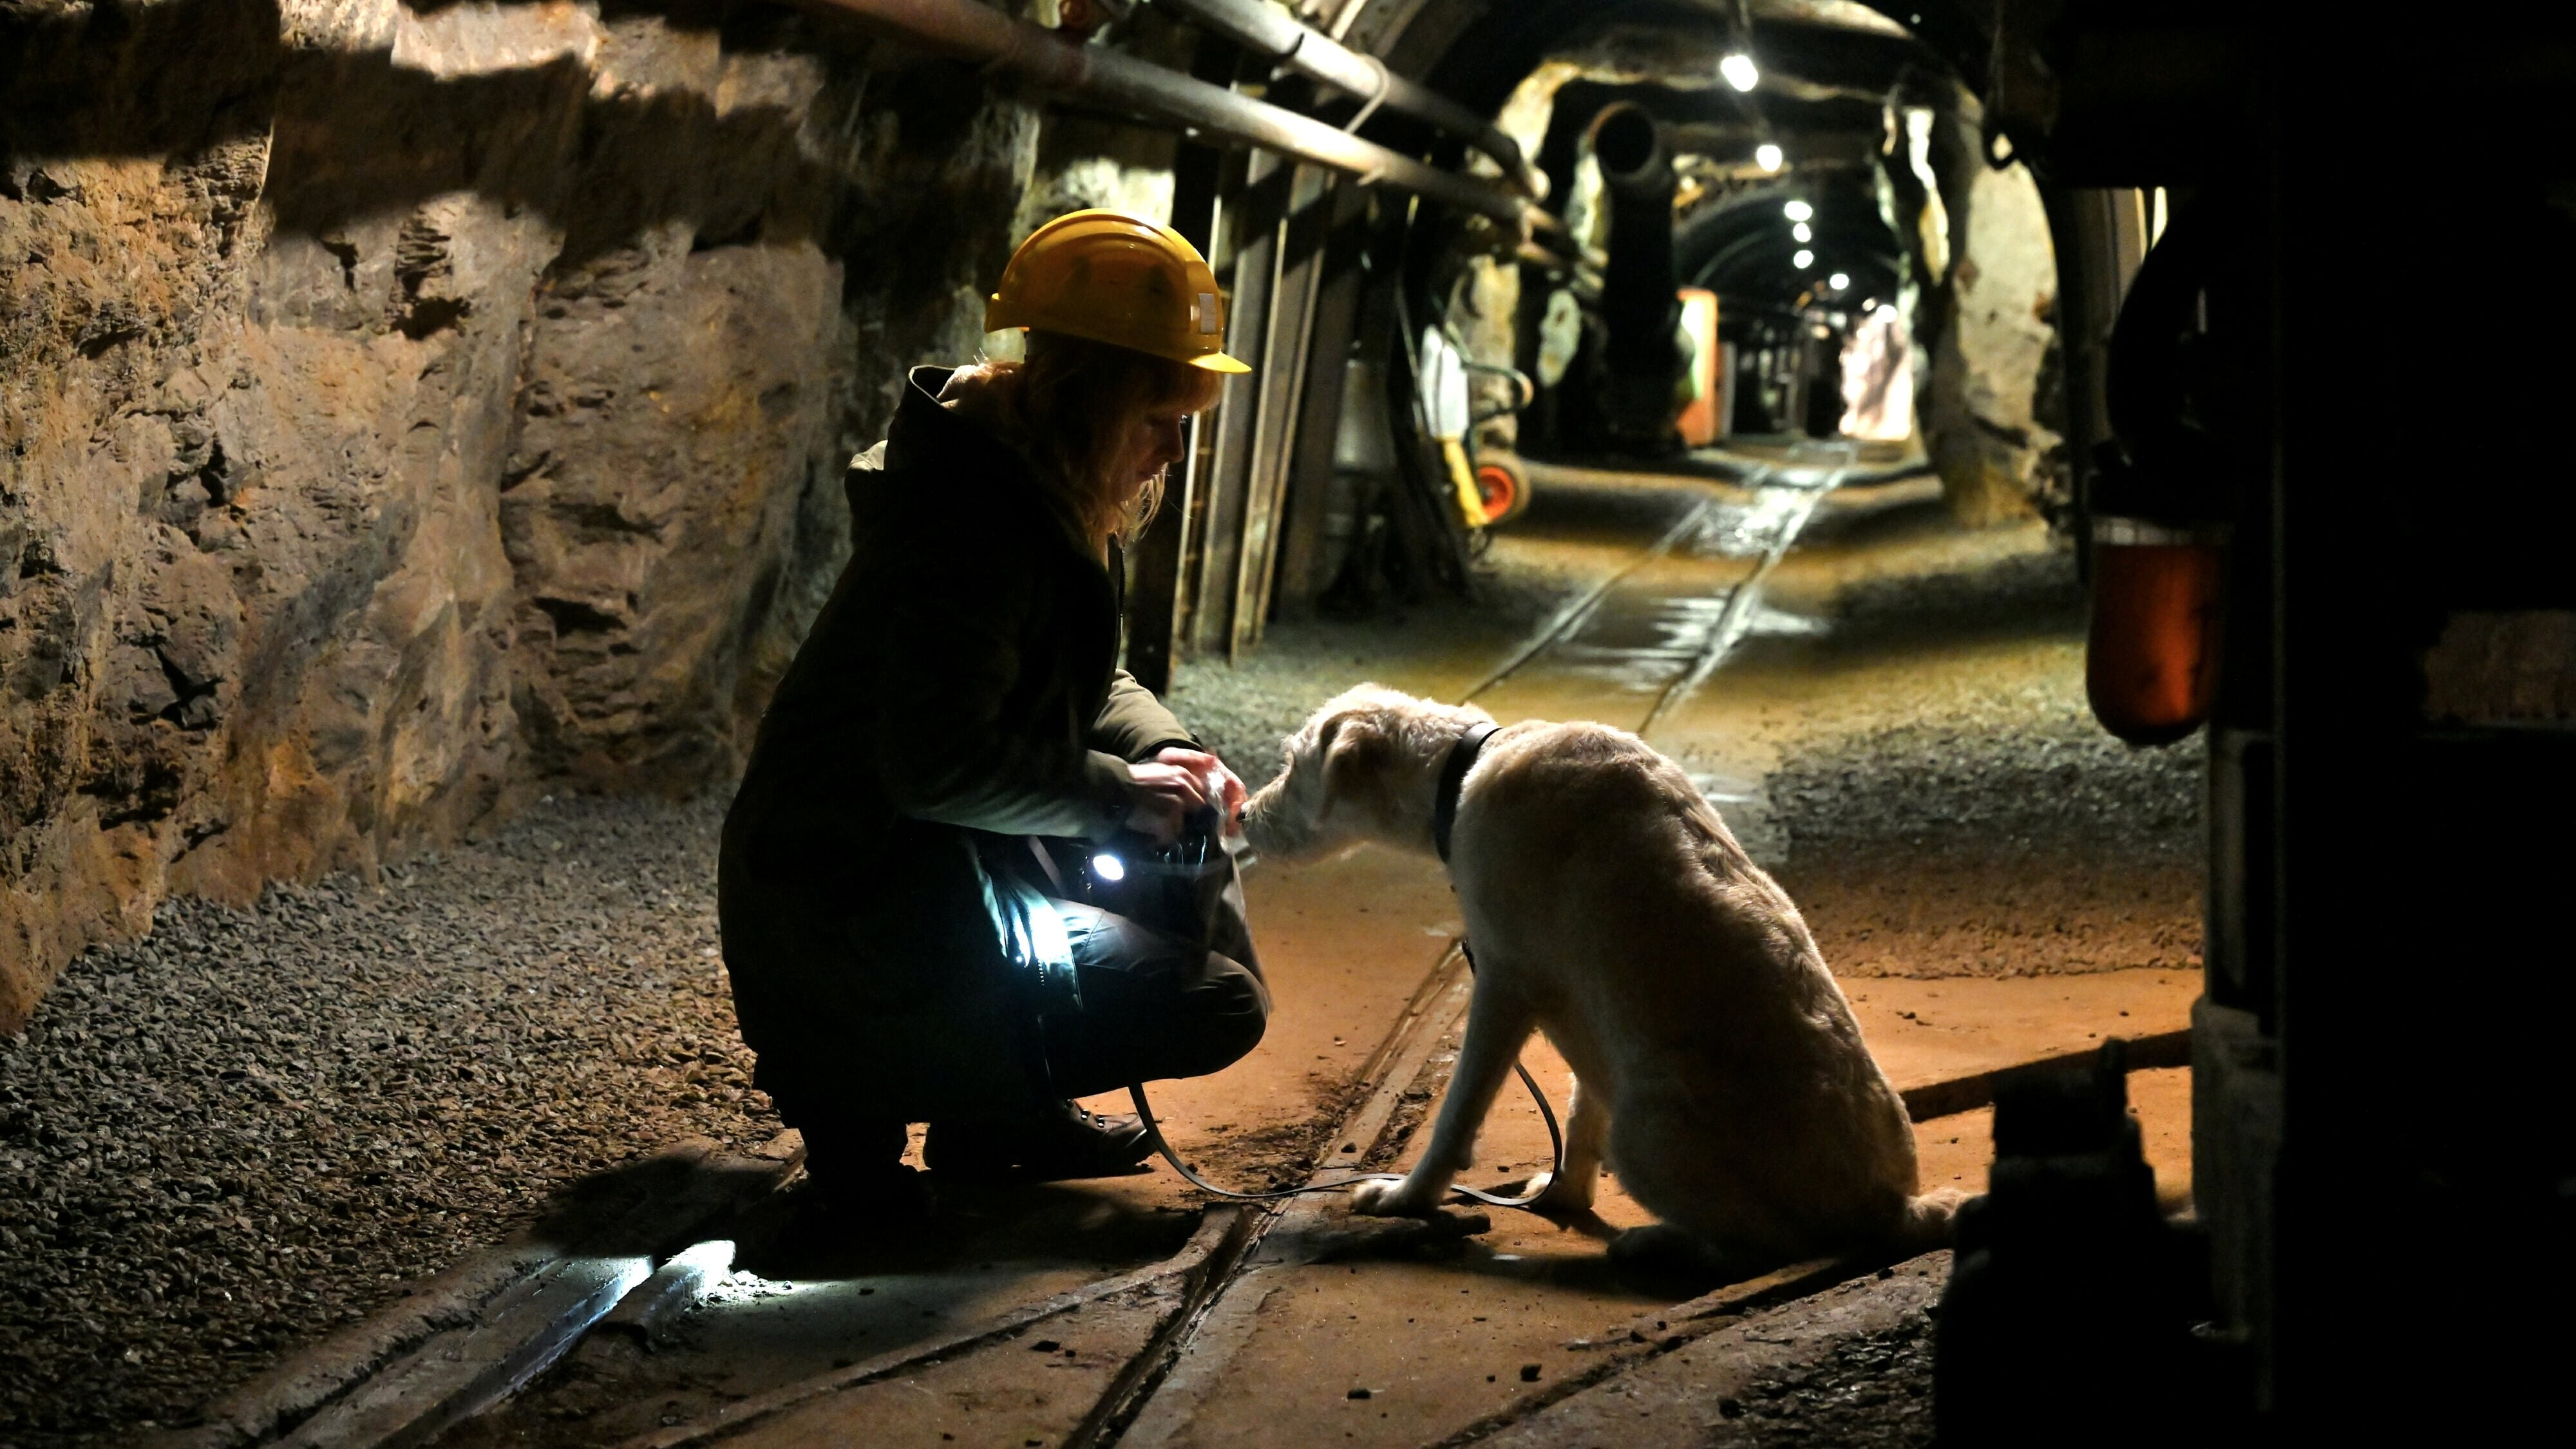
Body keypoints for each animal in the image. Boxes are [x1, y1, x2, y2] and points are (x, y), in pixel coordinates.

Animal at [1242, 680, 1947, 1268]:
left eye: (1291, 766)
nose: (1243, 815)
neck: (1463, 769)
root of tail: (1890, 1206)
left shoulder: (1503, 981)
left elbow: (1456, 1116)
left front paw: (1407, 1199)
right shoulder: (1576, 1011)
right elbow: (1580, 1116)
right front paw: (1562, 1198)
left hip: (1645, 1131)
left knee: (1768, 1245)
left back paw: (1656, 1244)